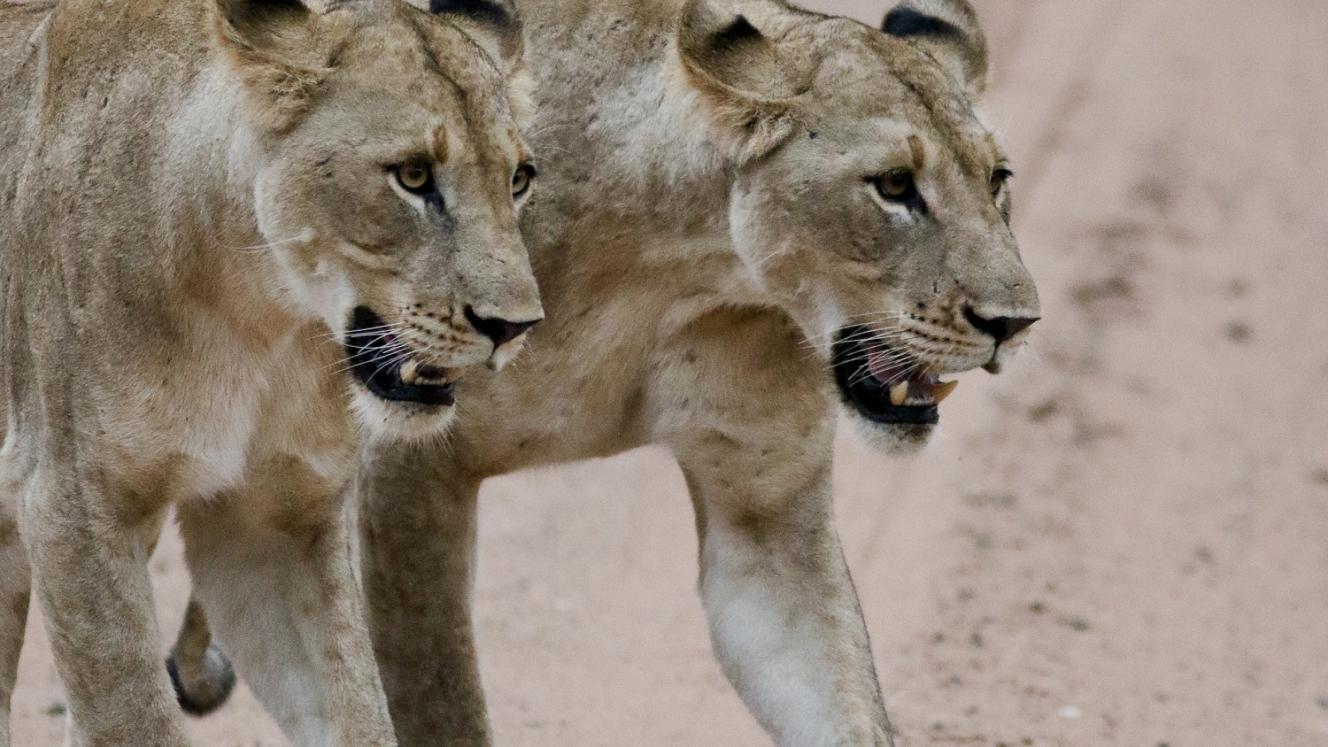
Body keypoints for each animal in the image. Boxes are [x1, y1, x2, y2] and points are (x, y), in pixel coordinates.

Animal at [0, 0, 543, 744]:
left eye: (518, 179)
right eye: (412, 176)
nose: (515, 326)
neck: (259, 321)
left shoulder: (270, 524)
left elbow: (356, 706)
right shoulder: (66, 501)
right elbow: (133, 717)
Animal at [173, 0, 1041, 744]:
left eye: (998, 181)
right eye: (894, 186)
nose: (1015, 322)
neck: (678, 259)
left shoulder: (765, 510)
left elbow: (835, 685)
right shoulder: (411, 469)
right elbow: (438, 700)